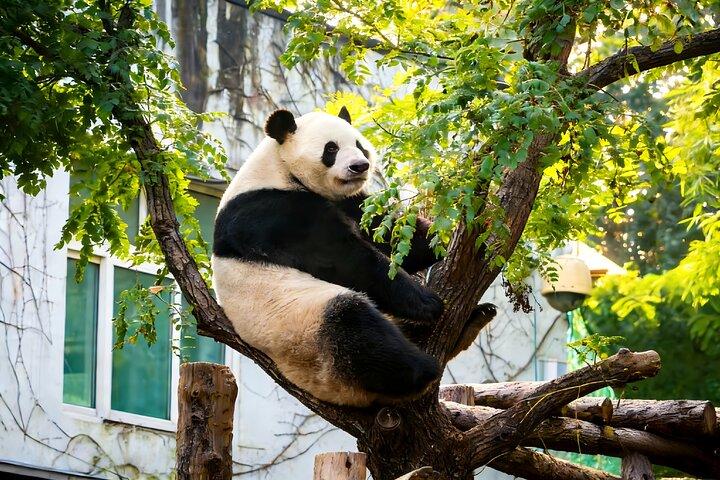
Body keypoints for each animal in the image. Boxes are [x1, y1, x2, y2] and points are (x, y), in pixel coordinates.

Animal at [212, 107, 495, 407]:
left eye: (359, 145)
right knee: (354, 326)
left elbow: (390, 235)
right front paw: (427, 302)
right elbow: (344, 258)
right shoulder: (272, 213)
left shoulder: (350, 202)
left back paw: (471, 323)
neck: (280, 168)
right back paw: (423, 369)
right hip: (302, 329)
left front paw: (467, 233)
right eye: (331, 149)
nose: (360, 166)